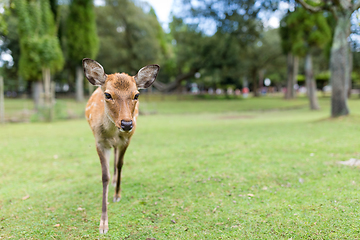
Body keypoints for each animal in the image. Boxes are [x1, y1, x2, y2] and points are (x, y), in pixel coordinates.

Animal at [83, 58, 160, 234]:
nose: (127, 124)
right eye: (107, 94)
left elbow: (120, 164)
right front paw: (103, 223)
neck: (112, 133)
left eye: (136, 94)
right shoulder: (99, 142)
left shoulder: (127, 140)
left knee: (117, 159)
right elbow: (104, 176)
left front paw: (117, 195)